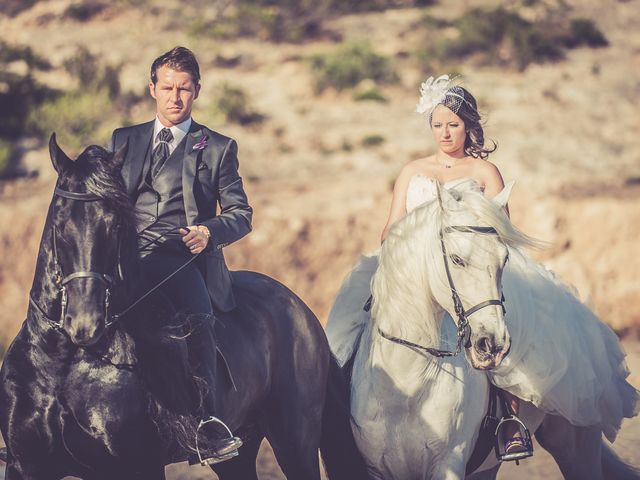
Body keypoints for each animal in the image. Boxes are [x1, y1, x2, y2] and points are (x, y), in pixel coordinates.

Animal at [0, 136, 364, 480]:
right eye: (60, 223)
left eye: (115, 226)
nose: (85, 324)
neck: (62, 363)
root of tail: (299, 306)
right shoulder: (25, 465)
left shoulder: (135, 467)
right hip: (240, 451)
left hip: (295, 442)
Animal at [328, 181, 636, 480]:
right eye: (456, 259)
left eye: (505, 259)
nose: (493, 344)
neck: (408, 384)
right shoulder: (376, 470)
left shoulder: (448, 463)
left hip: (576, 448)